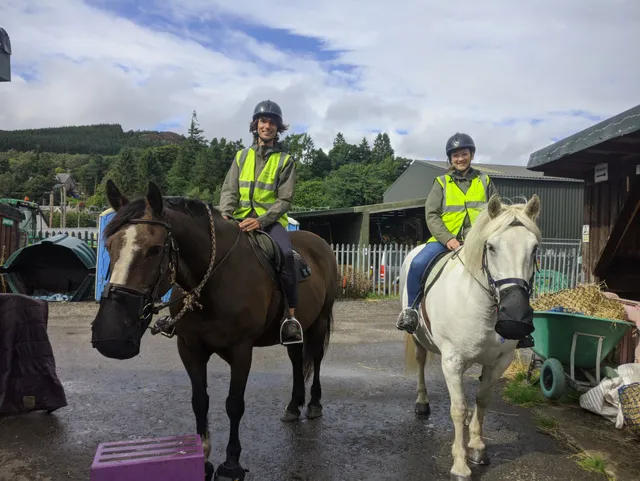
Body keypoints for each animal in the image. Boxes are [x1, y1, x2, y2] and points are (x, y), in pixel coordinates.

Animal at [91, 180, 338, 481]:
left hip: (321, 320)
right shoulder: (190, 348)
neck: (214, 282)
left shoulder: (241, 350)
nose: (111, 335)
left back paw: (313, 404)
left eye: (155, 249)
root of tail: (319, 242)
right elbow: (200, 400)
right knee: (296, 359)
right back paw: (294, 405)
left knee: (316, 359)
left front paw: (231, 464)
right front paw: (204, 457)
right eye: (109, 245)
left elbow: (234, 404)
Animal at [401, 194, 541, 481]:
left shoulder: (499, 361)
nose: (514, 316)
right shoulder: (452, 361)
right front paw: (460, 465)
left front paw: (476, 447)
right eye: (491, 247)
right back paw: (422, 402)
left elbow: (482, 400)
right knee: (421, 363)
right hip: (419, 340)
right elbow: (458, 409)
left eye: (534, 249)